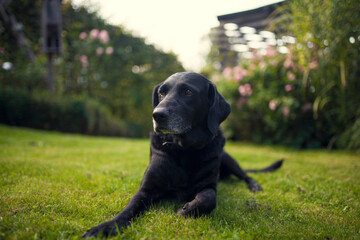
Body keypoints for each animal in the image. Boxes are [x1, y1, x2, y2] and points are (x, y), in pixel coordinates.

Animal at [83, 72, 282, 237]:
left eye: (188, 91)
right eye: (161, 93)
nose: (157, 115)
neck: (184, 149)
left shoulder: (210, 185)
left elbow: (208, 198)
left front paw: (187, 210)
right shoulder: (147, 188)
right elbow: (130, 207)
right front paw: (106, 227)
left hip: (227, 159)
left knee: (245, 174)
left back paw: (254, 186)